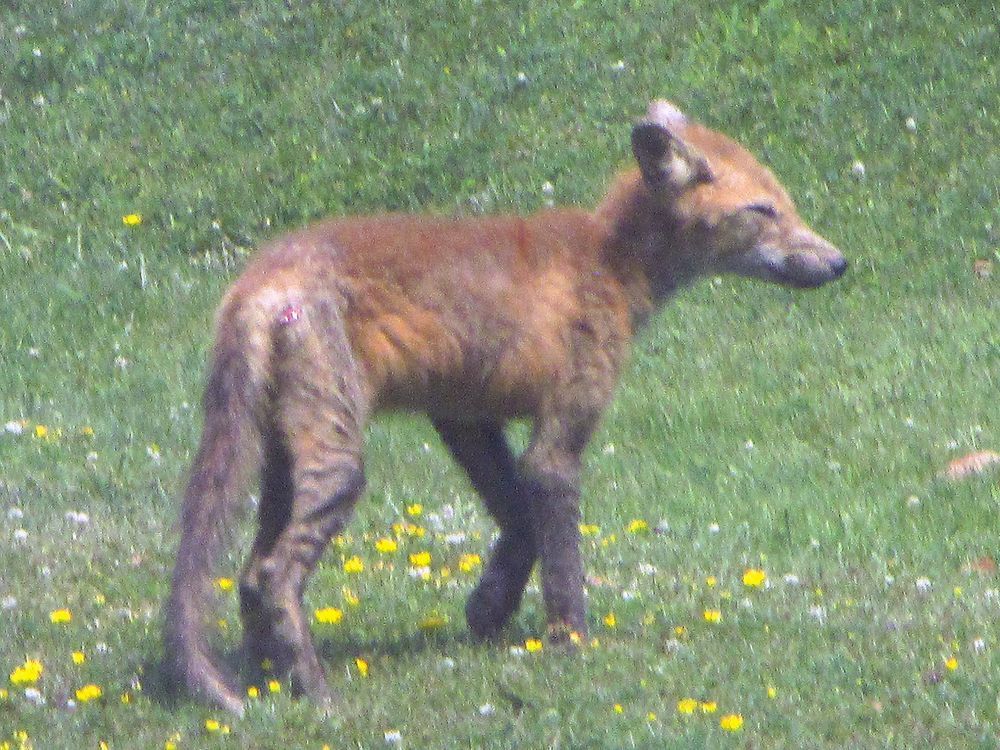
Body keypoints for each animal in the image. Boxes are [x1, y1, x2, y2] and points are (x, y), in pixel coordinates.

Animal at [164, 100, 844, 716]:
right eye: (763, 211)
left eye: (787, 204)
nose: (839, 263)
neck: (610, 263)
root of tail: (261, 279)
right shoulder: (559, 432)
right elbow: (560, 557)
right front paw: (571, 645)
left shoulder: (464, 415)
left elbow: (518, 524)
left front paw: (489, 609)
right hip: (339, 464)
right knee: (272, 576)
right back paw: (316, 691)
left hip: (279, 458)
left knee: (248, 575)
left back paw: (267, 679)